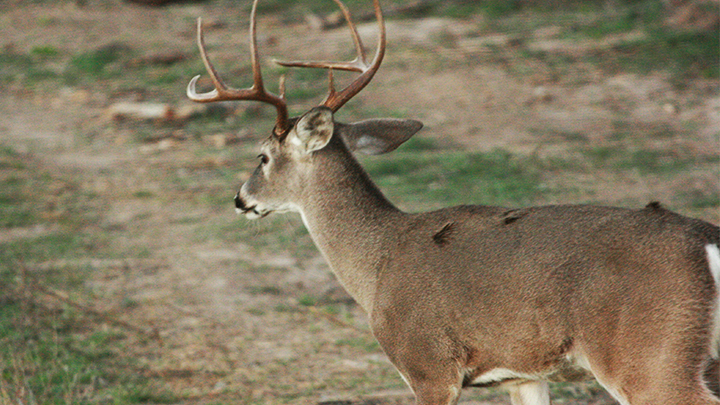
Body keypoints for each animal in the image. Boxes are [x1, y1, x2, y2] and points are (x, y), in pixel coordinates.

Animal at [188, 0, 720, 404]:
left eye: (262, 157)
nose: (239, 199)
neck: (378, 263)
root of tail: (707, 243)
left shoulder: (427, 363)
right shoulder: (524, 373)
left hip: (650, 355)